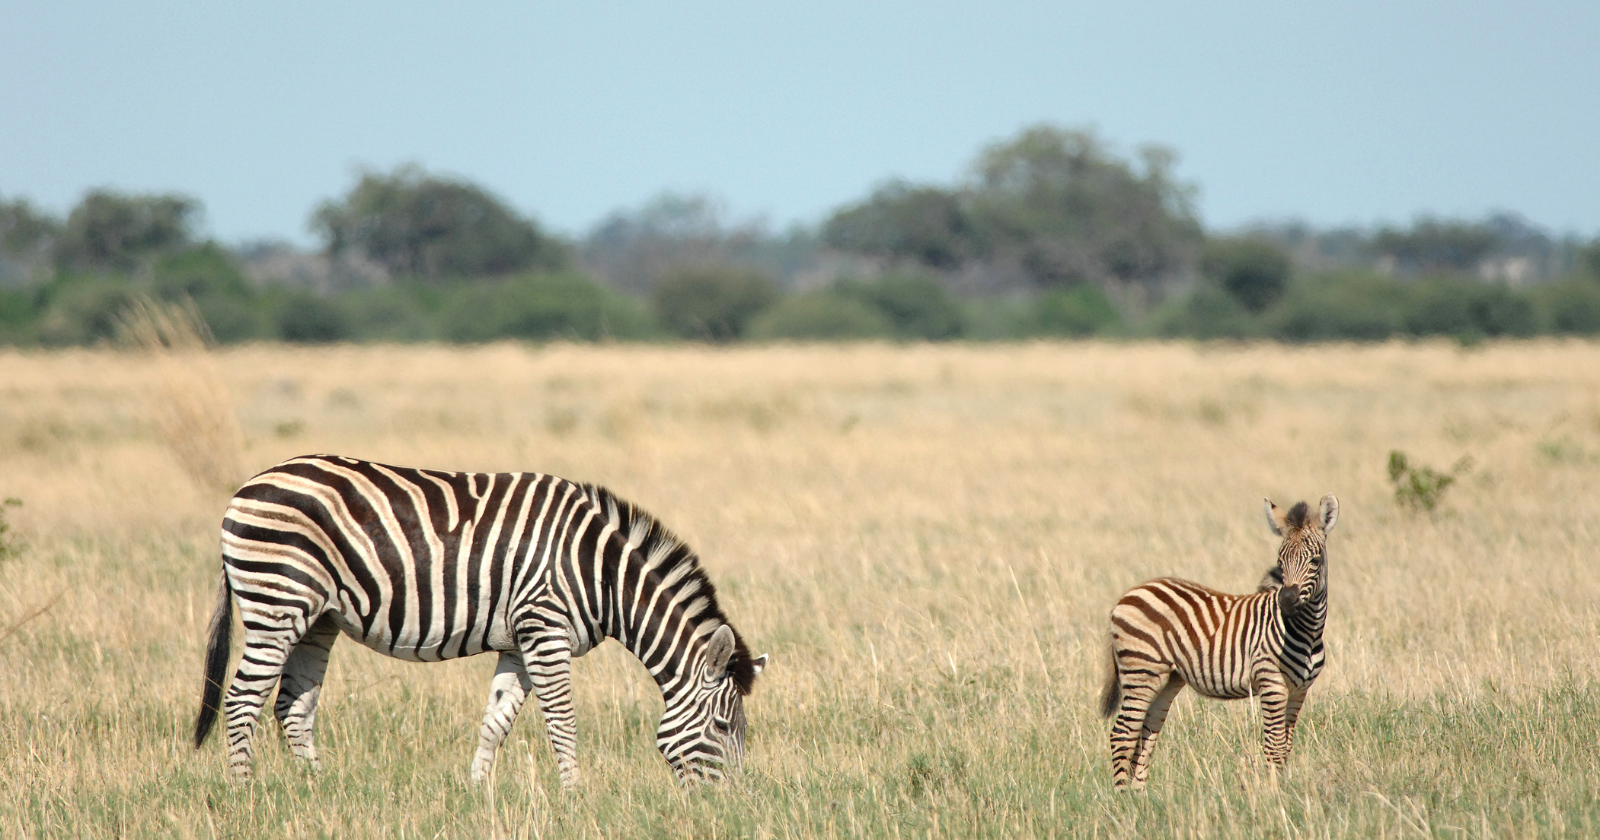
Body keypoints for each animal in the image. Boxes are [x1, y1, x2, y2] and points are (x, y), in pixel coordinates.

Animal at [192, 454, 769, 786]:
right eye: (724, 727)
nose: (731, 806)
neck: (600, 572)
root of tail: (247, 486)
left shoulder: (519, 642)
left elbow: (497, 721)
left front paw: (479, 793)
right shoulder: (545, 630)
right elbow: (562, 722)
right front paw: (575, 796)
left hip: (319, 619)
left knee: (292, 706)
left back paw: (319, 790)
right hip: (277, 602)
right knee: (242, 699)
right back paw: (245, 793)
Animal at [1099, 494, 1337, 790]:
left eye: (1315, 561)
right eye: (1280, 561)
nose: (1286, 600)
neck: (1306, 631)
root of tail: (1127, 594)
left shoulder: (1299, 691)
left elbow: (1286, 746)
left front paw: (1281, 788)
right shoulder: (1271, 683)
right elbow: (1274, 746)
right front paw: (1272, 793)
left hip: (1166, 679)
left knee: (1146, 732)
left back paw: (1139, 795)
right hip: (1142, 669)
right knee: (1122, 734)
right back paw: (1122, 798)